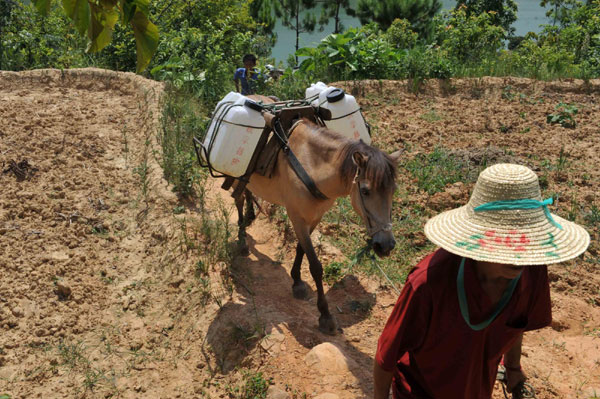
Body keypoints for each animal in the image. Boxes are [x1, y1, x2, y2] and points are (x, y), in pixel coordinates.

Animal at [233, 95, 398, 336]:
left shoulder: (315, 216)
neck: (311, 163)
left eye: (394, 190)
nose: (385, 246)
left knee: (246, 191)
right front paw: (325, 315)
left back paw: (250, 216)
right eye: (366, 191)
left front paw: (296, 281)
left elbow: (301, 249)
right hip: (234, 175)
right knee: (237, 198)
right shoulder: (296, 216)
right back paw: (242, 239)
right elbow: (315, 266)